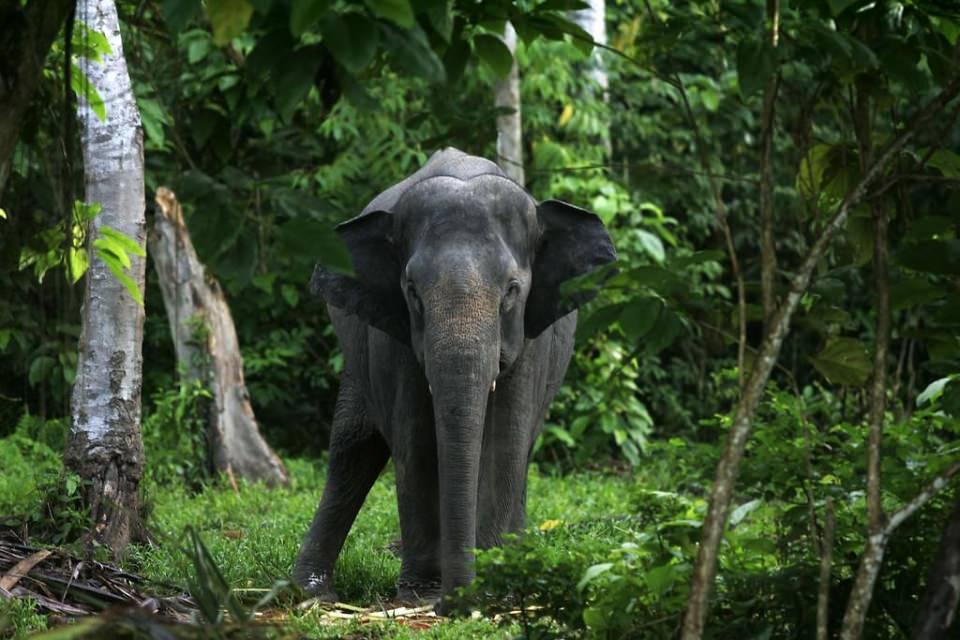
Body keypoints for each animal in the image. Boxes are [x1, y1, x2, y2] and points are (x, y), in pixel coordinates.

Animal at [292, 148, 616, 612]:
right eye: (411, 290)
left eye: (512, 290)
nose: (453, 602)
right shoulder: (393, 335)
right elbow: (415, 443)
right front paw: (423, 593)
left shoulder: (532, 338)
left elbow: (504, 441)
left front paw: (496, 586)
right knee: (353, 446)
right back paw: (312, 595)